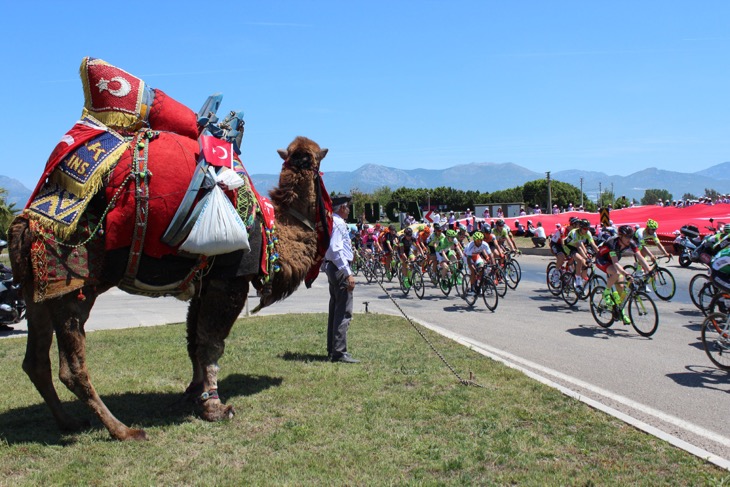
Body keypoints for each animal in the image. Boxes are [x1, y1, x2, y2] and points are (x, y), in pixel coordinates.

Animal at [8, 135, 330, 440]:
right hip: (73, 289)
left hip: (37, 292)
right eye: (316, 163)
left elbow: (194, 341)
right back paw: (123, 431)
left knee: (36, 362)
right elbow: (212, 343)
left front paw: (193, 393)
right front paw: (215, 407)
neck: (271, 229)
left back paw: (70, 422)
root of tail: (24, 224)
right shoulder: (231, 278)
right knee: (71, 367)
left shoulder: (203, 282)